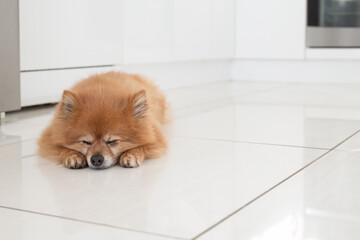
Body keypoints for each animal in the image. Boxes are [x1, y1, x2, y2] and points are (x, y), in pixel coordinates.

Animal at [37, 71, 169, 169]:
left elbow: (143, 145)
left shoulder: (156, 137)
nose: (96, 159)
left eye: (112, 141)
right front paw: (73, 156)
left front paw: (131, 154)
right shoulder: (49, 138)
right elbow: (61, 147)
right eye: (86, 142)